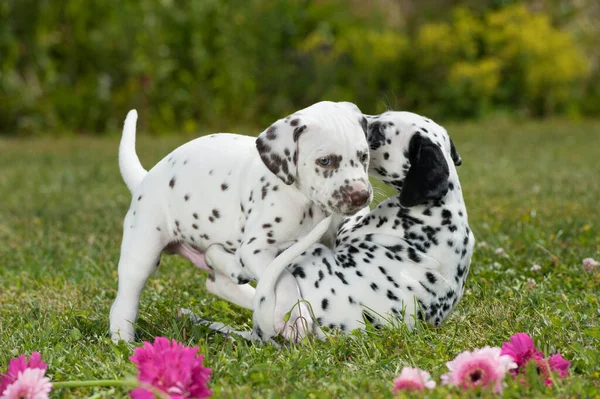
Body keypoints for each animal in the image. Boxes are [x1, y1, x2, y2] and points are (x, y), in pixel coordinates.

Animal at [107, 101, 370, 342]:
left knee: (223, 283)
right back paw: (124, 342)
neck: (306, 202)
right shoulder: (255, 249)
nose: (361, 195)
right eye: (325, 161)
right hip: (142, 253)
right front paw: (294, 315)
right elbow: (285, 278)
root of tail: (144, 179)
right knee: (123, 304)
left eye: (364, 156)